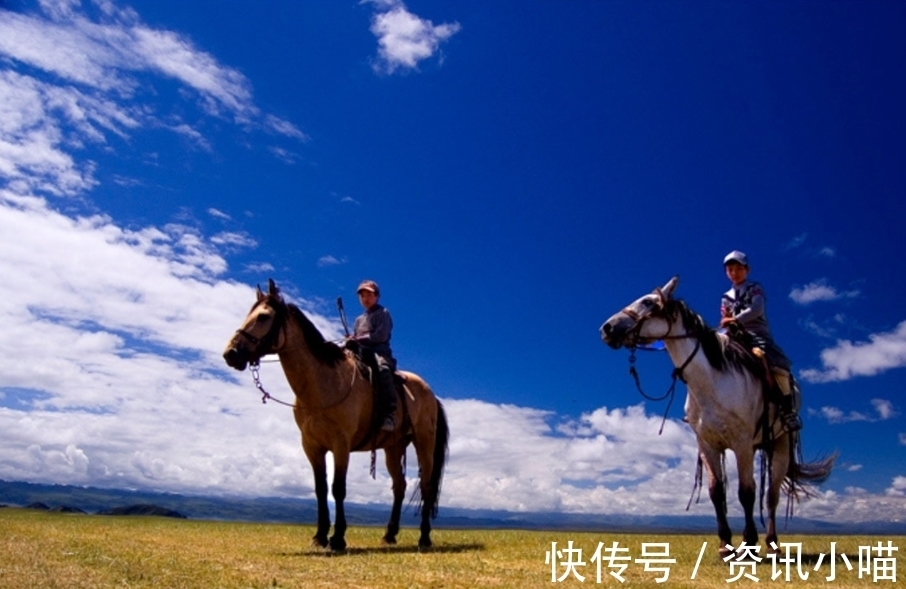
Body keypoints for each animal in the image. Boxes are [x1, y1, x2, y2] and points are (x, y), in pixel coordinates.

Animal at [222, 278, 448, 548]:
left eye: (264, 317)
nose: (230, 353)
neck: (323, 382)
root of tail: (430, 394)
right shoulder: (312, 446)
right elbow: (321, 489)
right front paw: (320, 535)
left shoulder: (341, 444)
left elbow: (338, 488)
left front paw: (338, 537)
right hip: (393, 447)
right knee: (399, 486)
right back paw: (389, 534)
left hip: (424, 443)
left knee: (426, 486)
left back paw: (424, 537)